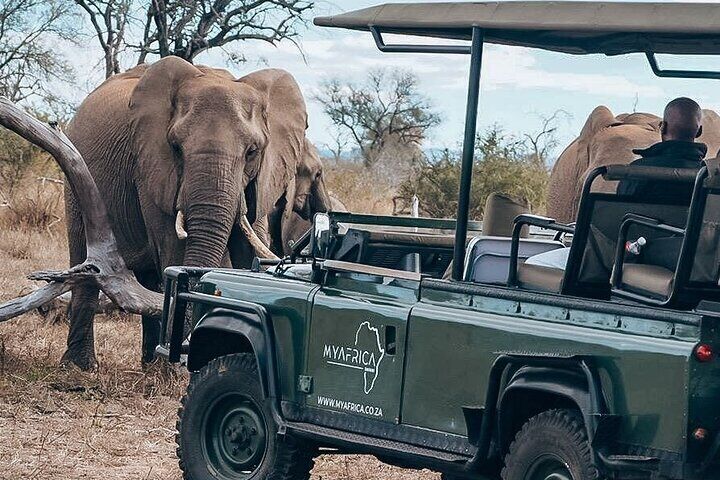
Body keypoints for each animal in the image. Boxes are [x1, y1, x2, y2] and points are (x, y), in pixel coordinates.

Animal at [63, 56, 308, 369]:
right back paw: (80, 366)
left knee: (149, 279)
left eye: (252, 152)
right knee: (84, 263)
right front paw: (180, 369)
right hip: (76, 178)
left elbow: (250, 248)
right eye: (176, 148)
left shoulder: (261, 180)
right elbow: (177, 250)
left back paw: (149, 365)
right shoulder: (151, 167)